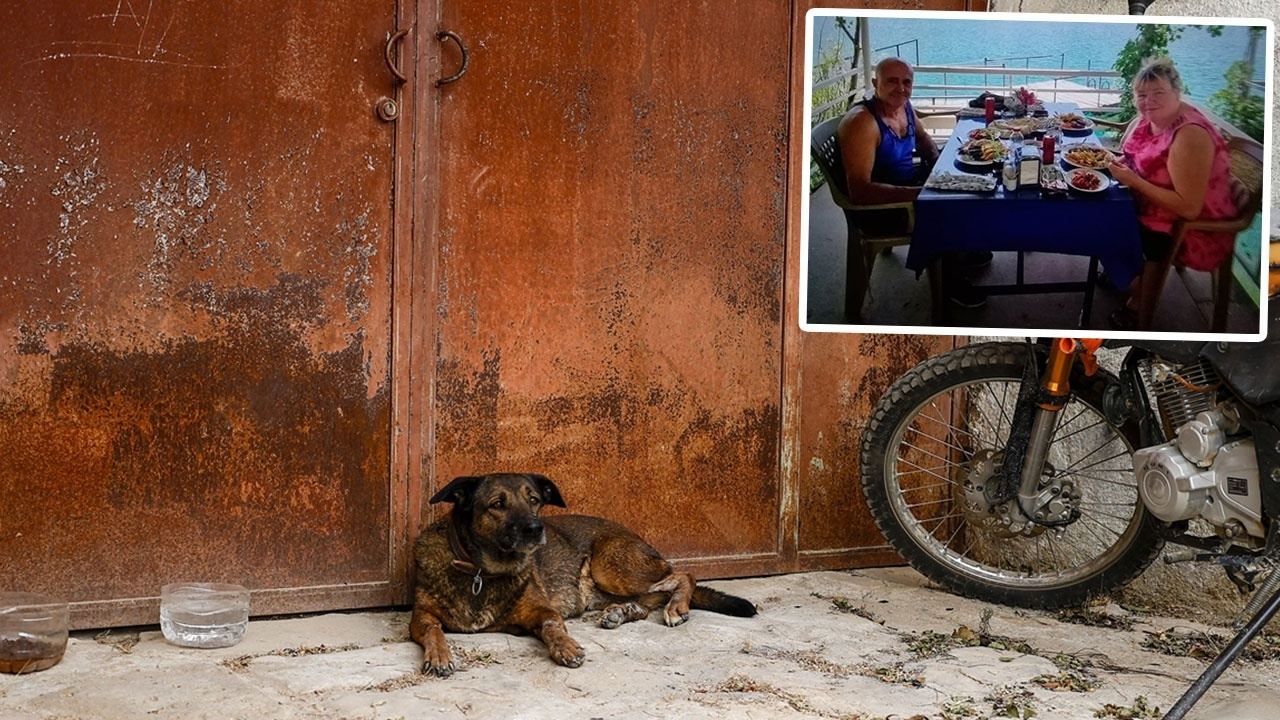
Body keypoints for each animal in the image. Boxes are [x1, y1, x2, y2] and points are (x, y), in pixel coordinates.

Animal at [409, 471, 752, 671]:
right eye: (497, 504)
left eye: (534, 500)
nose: (536, 529)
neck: (481, 572)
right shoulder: (421, 617)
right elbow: (434, 631)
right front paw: (439, 655)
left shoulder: (542, 611)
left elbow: (553, 626)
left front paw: (565, 646)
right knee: (647, 601)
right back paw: (622, 612)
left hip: (611, 567)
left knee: (683, 575)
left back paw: (676, 607)